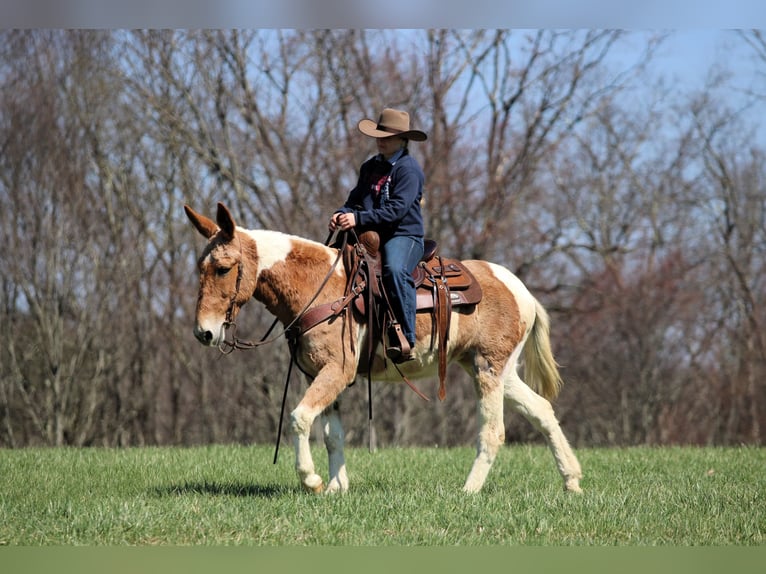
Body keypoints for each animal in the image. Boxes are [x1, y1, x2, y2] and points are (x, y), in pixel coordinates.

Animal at [184, 202, 582, 495]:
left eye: (223, 268)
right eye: (200, 267)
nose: (204, 333)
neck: (321, 287)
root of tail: (520, 289)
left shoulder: (336, 371)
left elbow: (300, 418)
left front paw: (312, 480)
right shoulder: (320, 374)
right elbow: (332, 434)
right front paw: (337, 487)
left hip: (489, 370)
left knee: (493, 432)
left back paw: (468, 491)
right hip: (495, 371)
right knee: (542, 411)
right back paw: (572, 481)